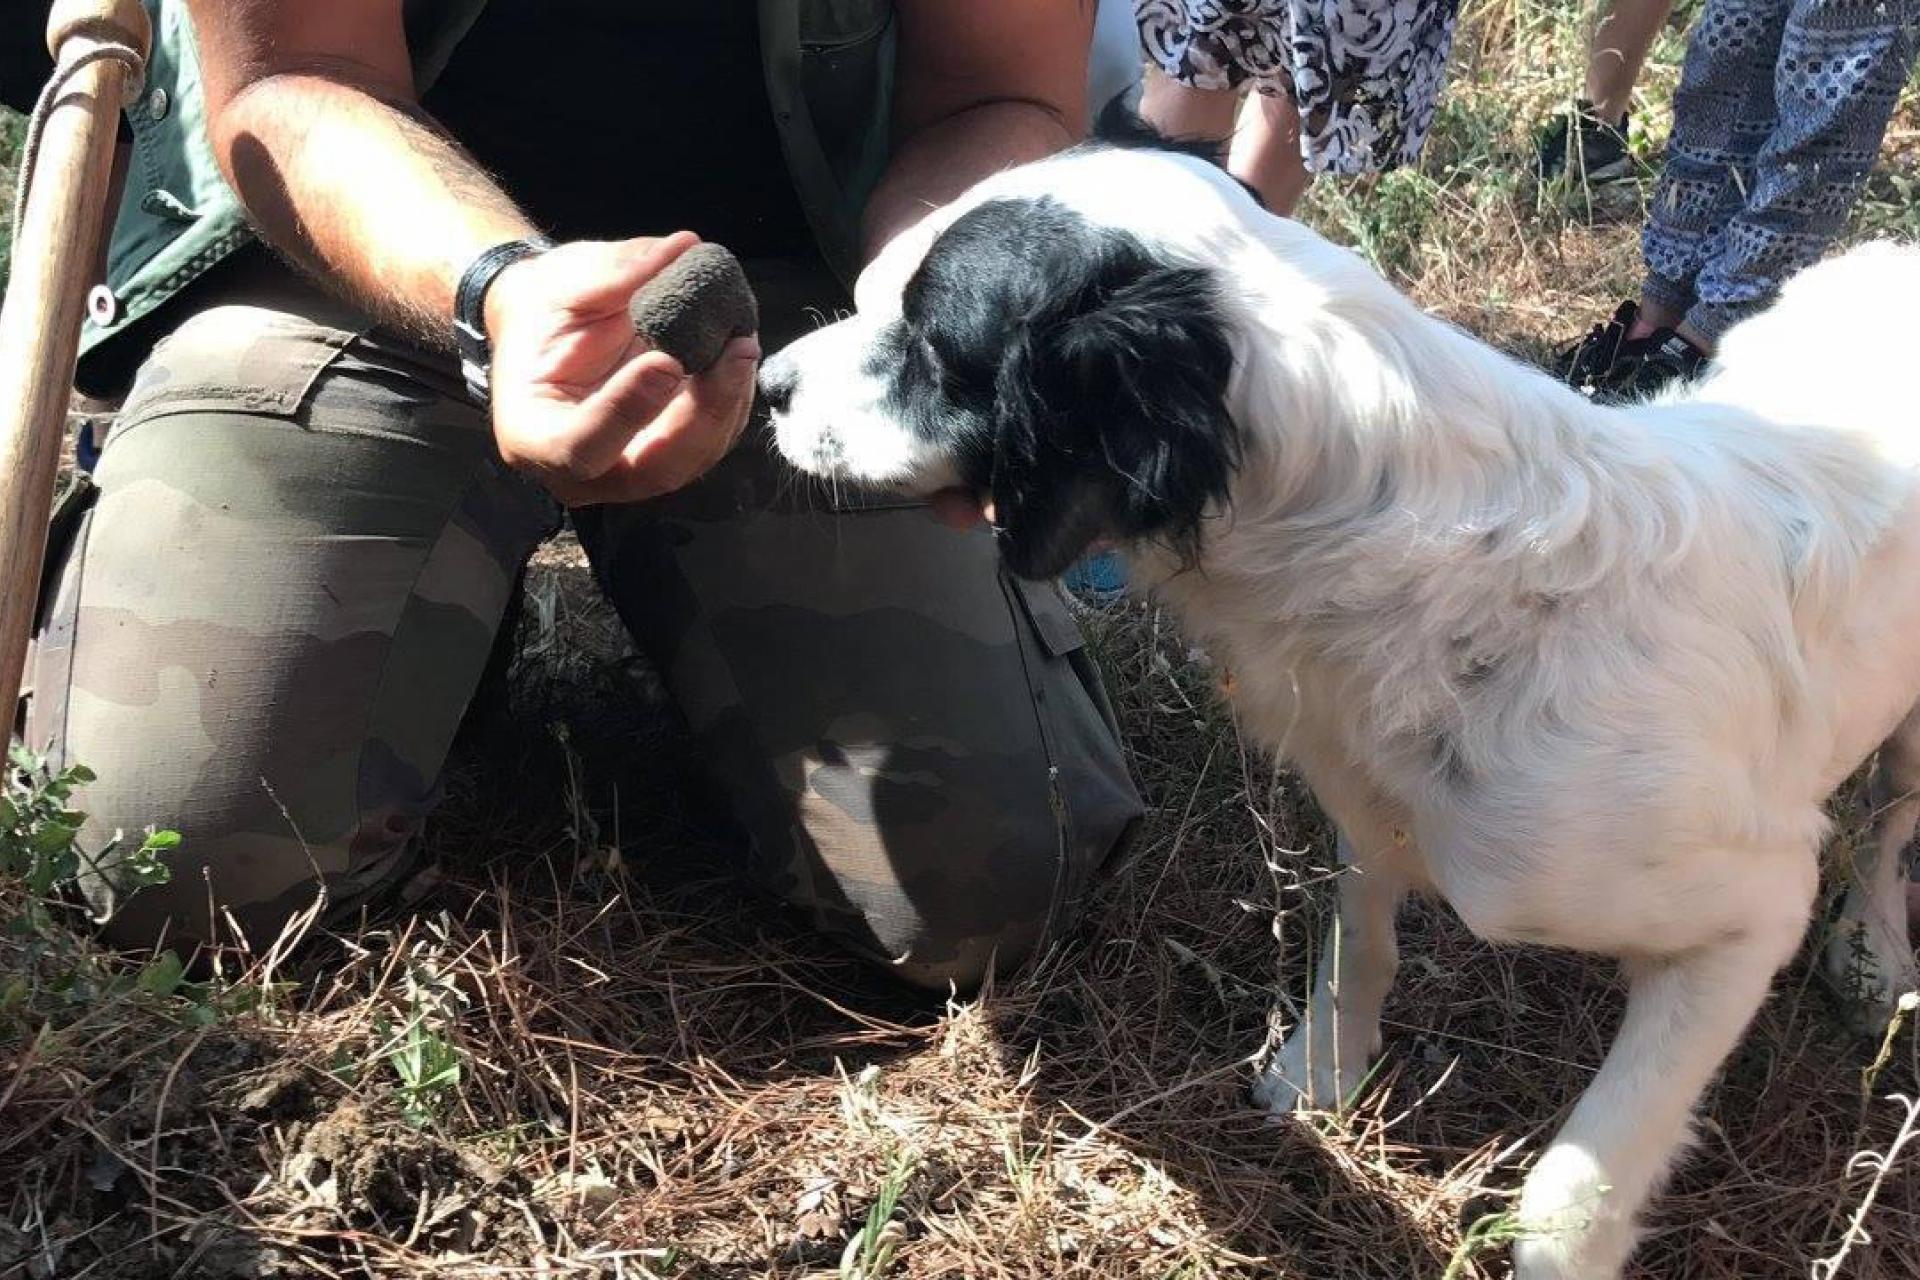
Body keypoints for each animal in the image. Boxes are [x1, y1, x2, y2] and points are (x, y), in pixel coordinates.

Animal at [756, 119, 1920, 1280]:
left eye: (929, 343)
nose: (762, 378)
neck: (1437, 567)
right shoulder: (1365, 805)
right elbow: (1359, 941)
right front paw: (1324, 1071)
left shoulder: (1752, 910)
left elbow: (1573, 1186)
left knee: (1890, 822)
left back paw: (1872, 955)